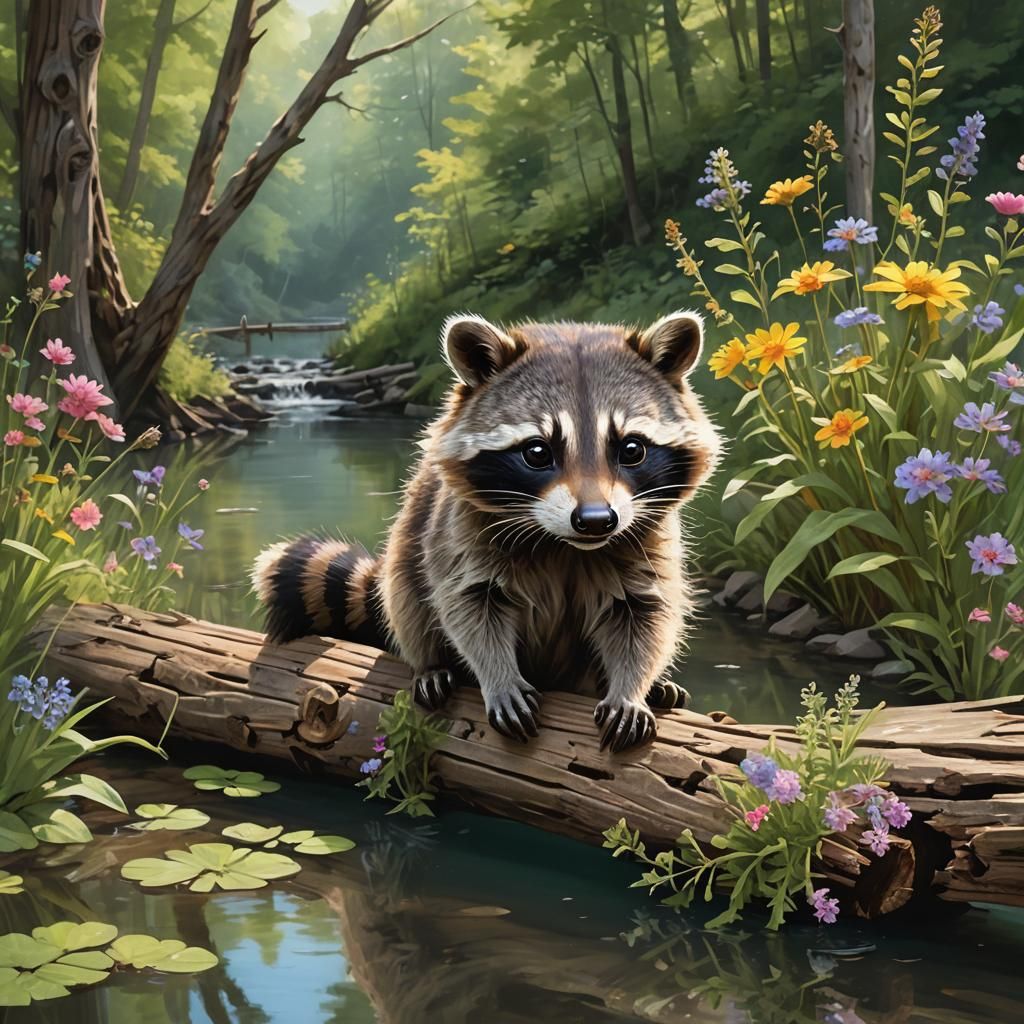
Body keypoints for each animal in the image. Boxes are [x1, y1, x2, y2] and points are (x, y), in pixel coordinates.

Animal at [252, 312, 722, 752]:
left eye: (632, 449)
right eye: (537, 452)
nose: (595, 520)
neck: (565, 545)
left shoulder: (647, 536)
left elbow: (644, 614)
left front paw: (630, 689)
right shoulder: (459, 531)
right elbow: (470, 606)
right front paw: (498, 676)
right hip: (411, 544)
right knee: (406, 594)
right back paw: (431, 664)